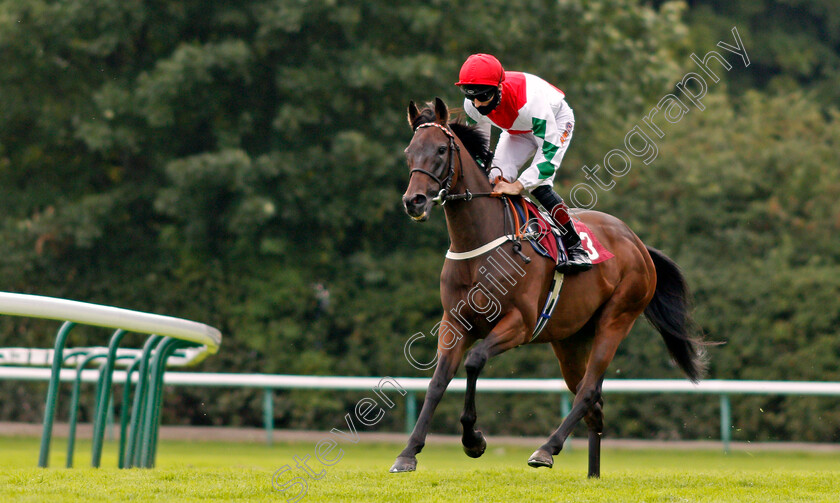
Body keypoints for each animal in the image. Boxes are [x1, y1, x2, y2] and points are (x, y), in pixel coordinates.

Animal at [390, 97, 704, 476]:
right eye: (409, 152)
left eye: (439, 149)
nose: (414, 201)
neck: (480, 245)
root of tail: (639, 244)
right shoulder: (454, 324)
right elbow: (438, 381)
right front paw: (408, 452)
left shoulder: (519, 324)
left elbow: (475, 362)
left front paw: (473, 439)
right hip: (570, 340)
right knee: (593, 403)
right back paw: (592, 473)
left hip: (617, 319)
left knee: (587, 391)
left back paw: (546, 449)